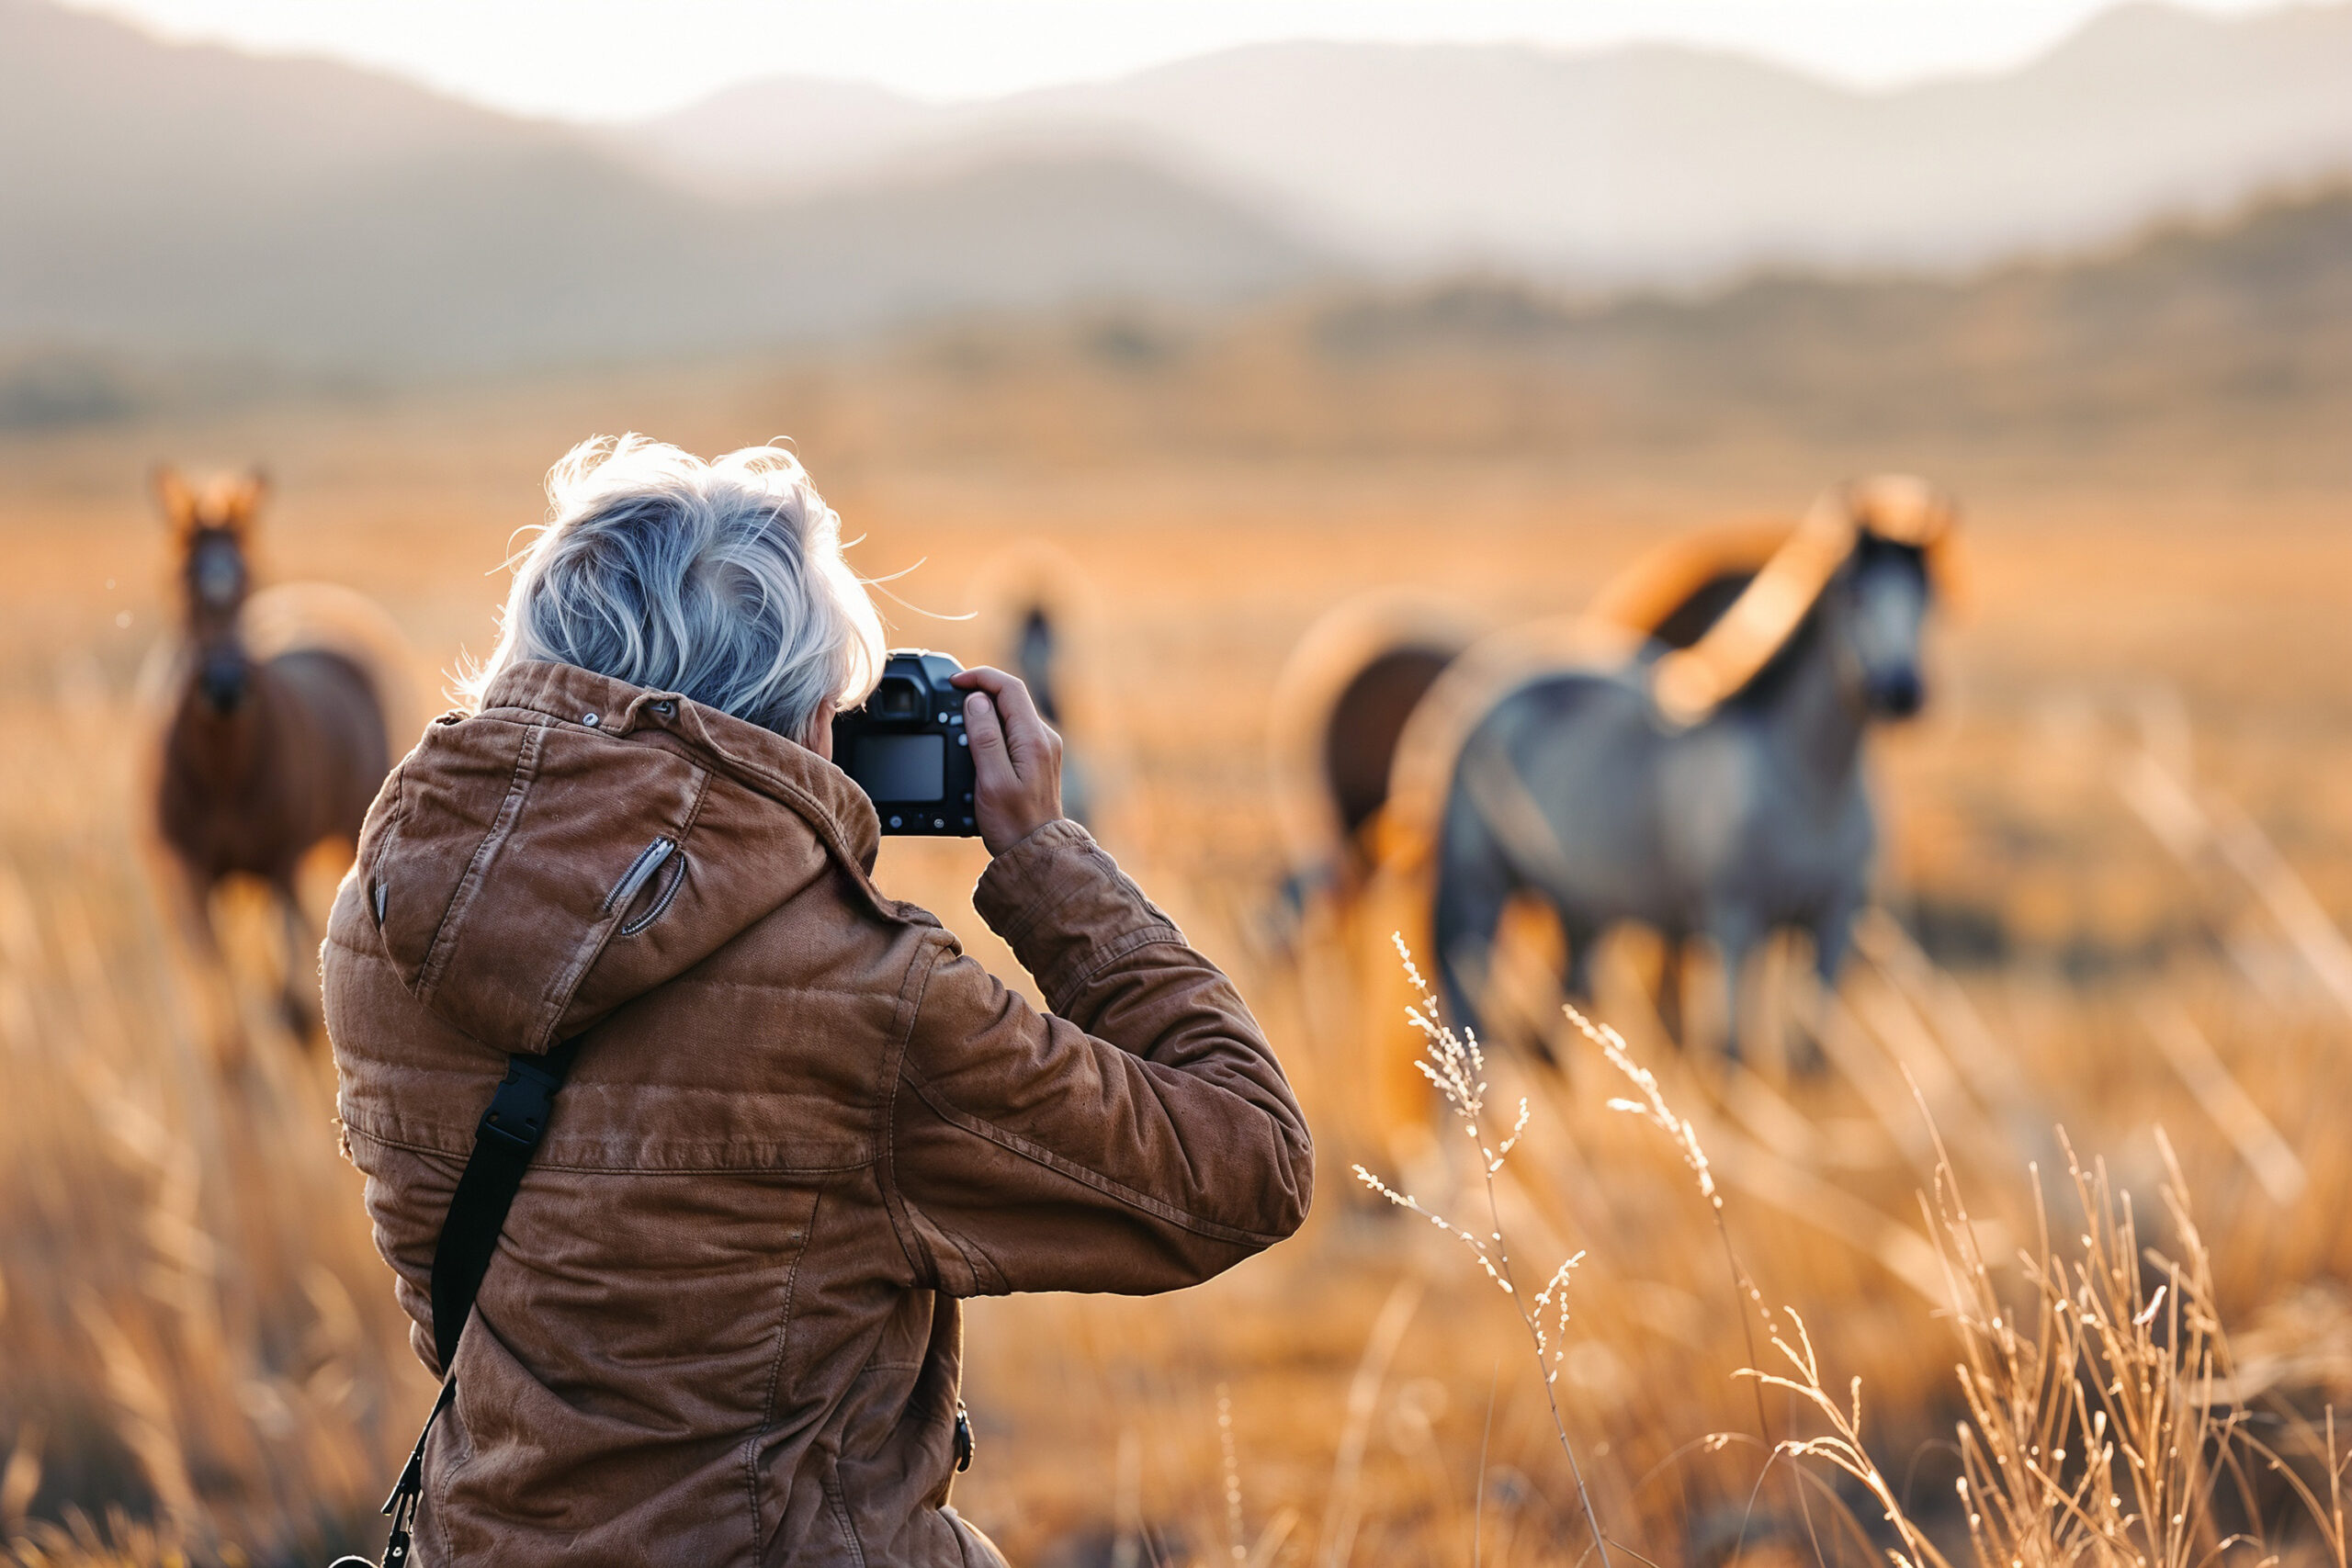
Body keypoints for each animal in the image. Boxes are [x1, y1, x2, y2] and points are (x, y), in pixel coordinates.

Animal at [153, 472, 390, 1048]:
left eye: (248, 575)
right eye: (182, 578)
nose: (224, 687)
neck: (222, 770)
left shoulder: (281, 864)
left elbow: (295, 1013)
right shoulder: (189, 874)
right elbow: (226, 1034)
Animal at [1430, 533, 1928, 1062]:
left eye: (1925, 598)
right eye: (1854, 597)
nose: (1903, 691)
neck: (1808, 786)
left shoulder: (1832, 921)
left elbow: (1808, 1055)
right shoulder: (1733, 923)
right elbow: (1730, 1049)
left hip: (1580, 913)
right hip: (1477, 894)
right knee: (1467, 1009)